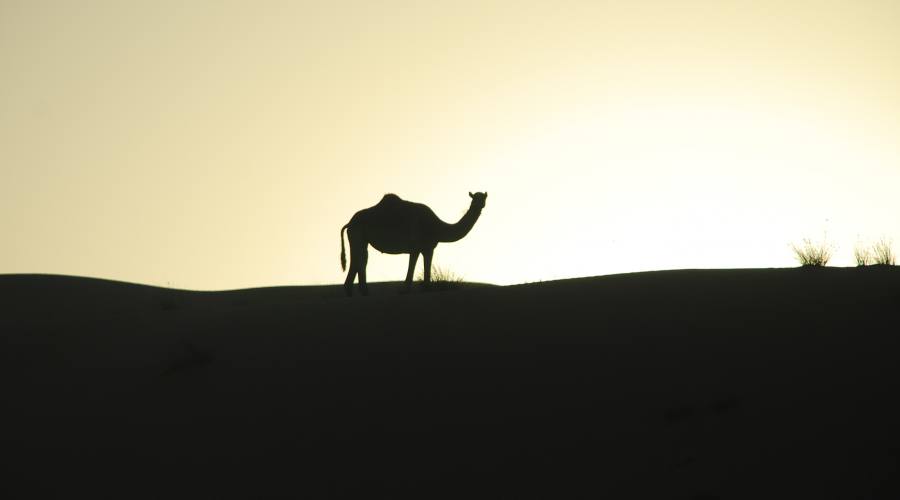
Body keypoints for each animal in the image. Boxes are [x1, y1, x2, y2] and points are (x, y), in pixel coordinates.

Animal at [342, 192, 488, 294]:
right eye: (474, 198)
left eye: (483, 198)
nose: (479, 204)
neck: (437, 226)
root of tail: (350, 222)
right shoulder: (416, 246)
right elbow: (412, 264)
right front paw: (405, 290)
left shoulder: (428, 248)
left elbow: (426, 265)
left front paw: (426, 288)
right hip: (357, 234)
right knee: (359, 258)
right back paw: (358, 291)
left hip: (360, 237)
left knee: (360, 258)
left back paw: (357, 291)